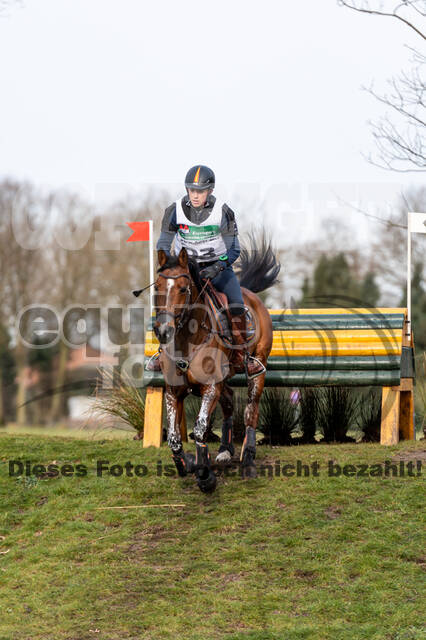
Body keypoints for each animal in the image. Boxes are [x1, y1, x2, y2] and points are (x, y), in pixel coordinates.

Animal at [152, 238, 280, 492]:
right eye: (157, 287)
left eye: (183, 289)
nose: (163, 331)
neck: (187, 339)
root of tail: (251, 294)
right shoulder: (174, 392)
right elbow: (174, 438)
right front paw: (188, 463)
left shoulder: (210, 387)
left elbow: (201, 429)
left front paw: (205, 476)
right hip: (223, 377)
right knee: (229, 401)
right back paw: (224, 451)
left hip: (258, 367)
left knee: (251, 411)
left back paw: (248, 460)